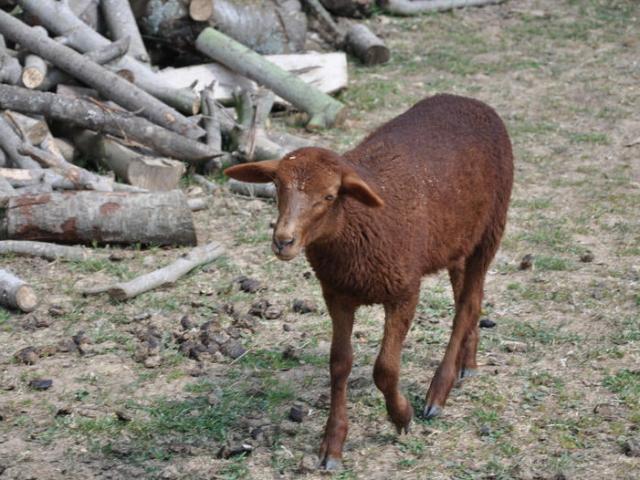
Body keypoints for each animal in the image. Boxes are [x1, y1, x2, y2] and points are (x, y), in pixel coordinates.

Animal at [225, 93, 516, 468]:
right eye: (277, 186)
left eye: (329, 195)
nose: (283, 241)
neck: (357, 222)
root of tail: (468, 99)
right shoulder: (337, 293)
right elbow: (339, 364)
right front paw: (332, 443)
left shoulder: (404, 291)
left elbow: (385, 369)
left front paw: (401, 416)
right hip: (458, 240)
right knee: (472, 298)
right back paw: (468, 363)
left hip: (491, 228)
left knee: (466, 306)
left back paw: (438, 392)